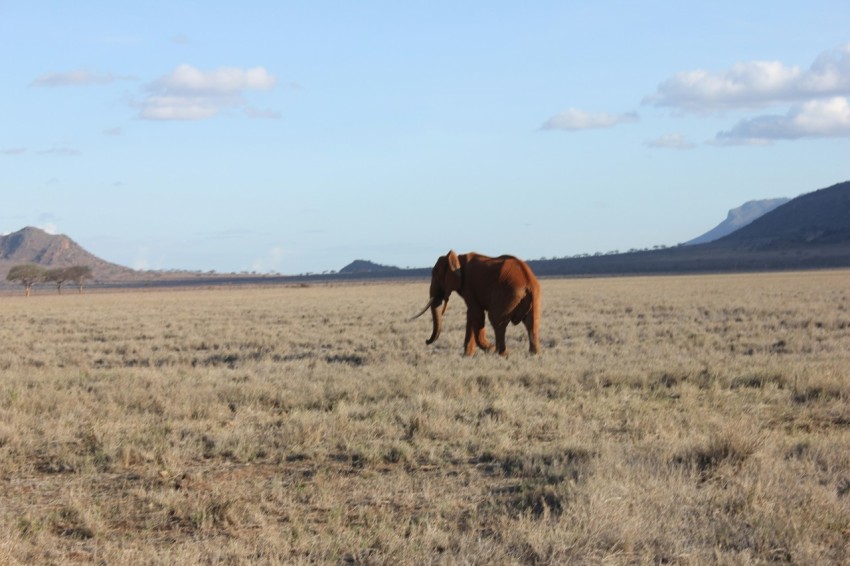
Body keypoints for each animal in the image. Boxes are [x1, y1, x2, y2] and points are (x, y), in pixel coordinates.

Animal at [412, 251, 544, 358]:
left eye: (437, 276)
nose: (426, 341)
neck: (457, 259)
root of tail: (528, 281)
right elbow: (471, 315)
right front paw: (467, 355)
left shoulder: (469, 285)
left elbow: (476, 314)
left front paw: (489, 349)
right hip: (534, 296)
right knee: (532, 323)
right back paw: (534, 354)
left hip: (507, 294)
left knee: (497, 321)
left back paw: (500, 354)